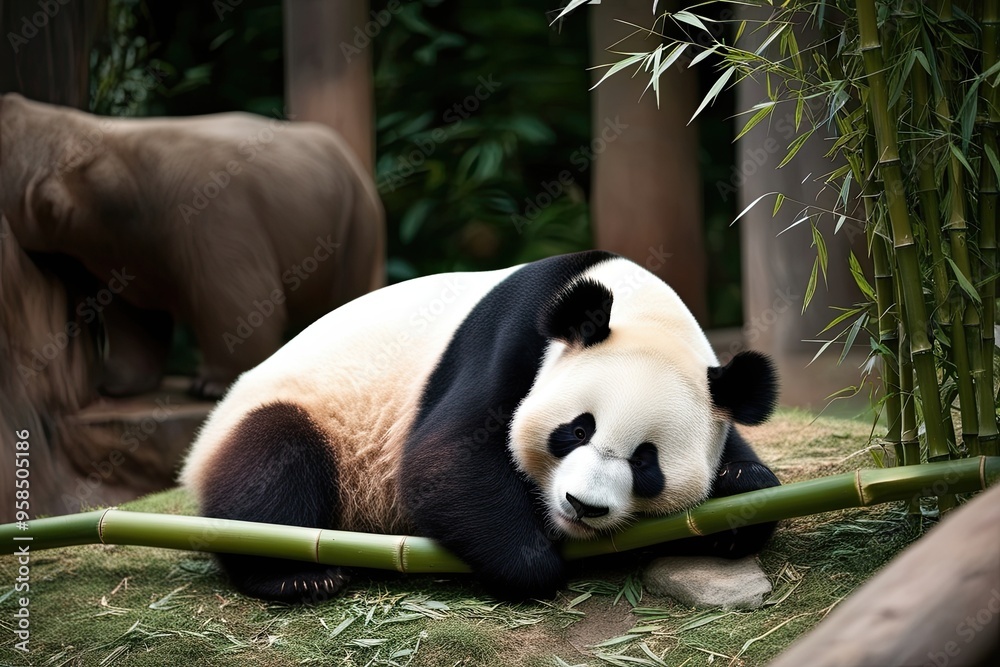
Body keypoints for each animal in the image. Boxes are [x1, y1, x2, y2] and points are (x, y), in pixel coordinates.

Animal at [180, 250, 780, 603]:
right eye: (577, 430)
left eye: (644, 462)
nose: (582, 507)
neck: (640, 306)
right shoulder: (511, 335)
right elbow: (441, 460)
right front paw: (533, 562)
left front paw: (738, 487)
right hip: (304, 415)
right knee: (274, 462)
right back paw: (296, 575)